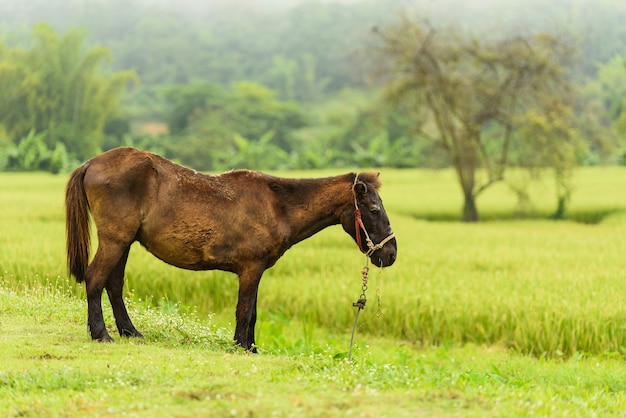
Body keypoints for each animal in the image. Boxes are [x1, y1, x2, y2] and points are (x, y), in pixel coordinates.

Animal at [64, 147, 394, 350]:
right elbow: (244, 311)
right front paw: (241, 346)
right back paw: (101, 334)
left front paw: (252, 347)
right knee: (95, 279)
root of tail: (91, 163)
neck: (278, 205)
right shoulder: (250, 269)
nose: (390, 254)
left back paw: (130, 331)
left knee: (114, 284)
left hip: (124, 242)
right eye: (374, 209)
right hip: (115, 240)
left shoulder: (256, 271)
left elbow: (253, 312)